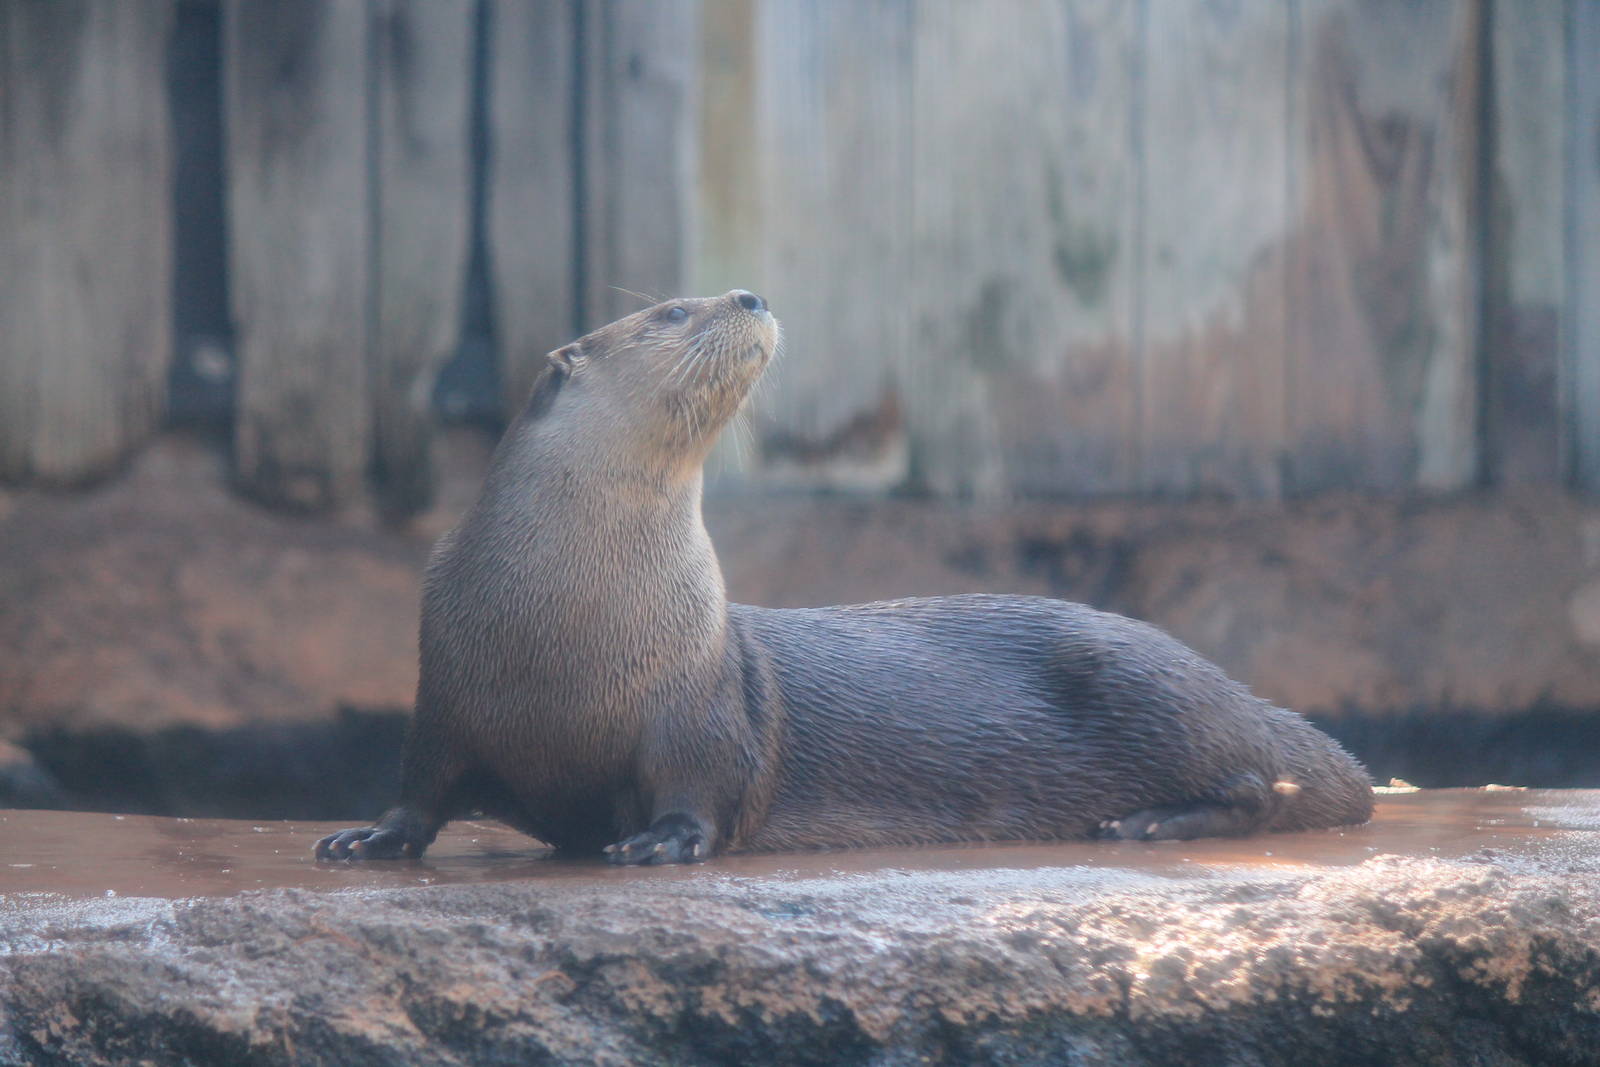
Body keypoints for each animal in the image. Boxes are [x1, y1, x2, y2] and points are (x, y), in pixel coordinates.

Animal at [316, 290, 1373, 864]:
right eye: (670, 309)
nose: (748, 295)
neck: (569, 622)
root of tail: (1239, 690)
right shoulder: (446, 687)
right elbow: (421, 783)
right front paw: (366, 839)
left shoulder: (698, 704)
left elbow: (696, 788)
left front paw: (659, 842)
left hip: (1149, 686)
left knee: (1261, 779)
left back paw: (1146, 821)